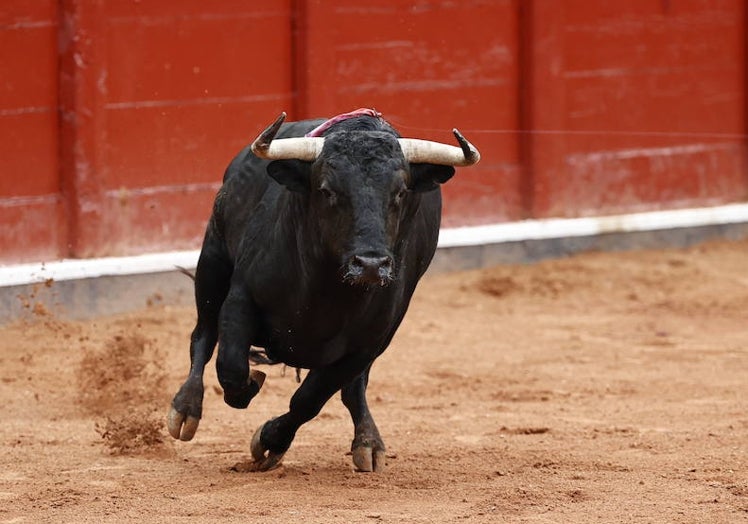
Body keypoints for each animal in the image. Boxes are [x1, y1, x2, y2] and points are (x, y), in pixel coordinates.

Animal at [167, 110, 480, 470]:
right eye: (328, 190)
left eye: (401, 191)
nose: (370, 264)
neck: (329, 289)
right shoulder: (240, 299)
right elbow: (231, 366)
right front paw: (250, 389)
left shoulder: (367, 345)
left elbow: (309, 399)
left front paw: (269, 441)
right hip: (213, 258)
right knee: (202, 336)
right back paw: (185, 409)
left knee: (353, 390)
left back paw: (368, 442)